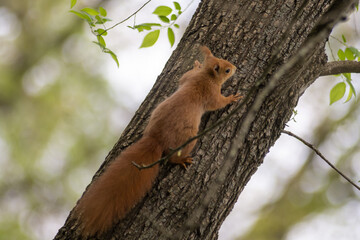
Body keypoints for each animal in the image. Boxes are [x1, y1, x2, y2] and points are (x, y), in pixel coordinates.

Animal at [74, 46, 240, 235]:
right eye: (227, 70)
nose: (235, 68)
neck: (206, 76)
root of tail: (156, 139)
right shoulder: (210, 93)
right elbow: (218, 103)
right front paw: (232, 98)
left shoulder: (188, 79)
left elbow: (184, 77)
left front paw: (196, 65)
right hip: (188, 139)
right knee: (173, 157)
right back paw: (181, 160)